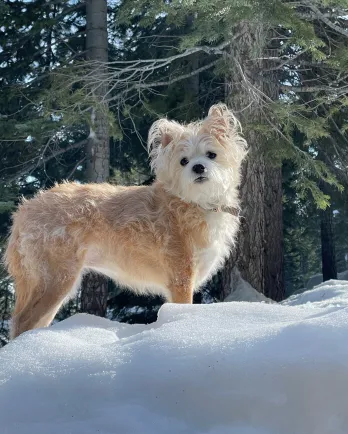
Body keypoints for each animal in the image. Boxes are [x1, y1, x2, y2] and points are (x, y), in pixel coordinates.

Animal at [3, 102, 247, 340]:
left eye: (211, 155)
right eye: (183, 161)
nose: (198, 167)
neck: (195, 202)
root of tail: (25, 210)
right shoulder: (181, 278)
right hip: (55, 278)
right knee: (23, 322)